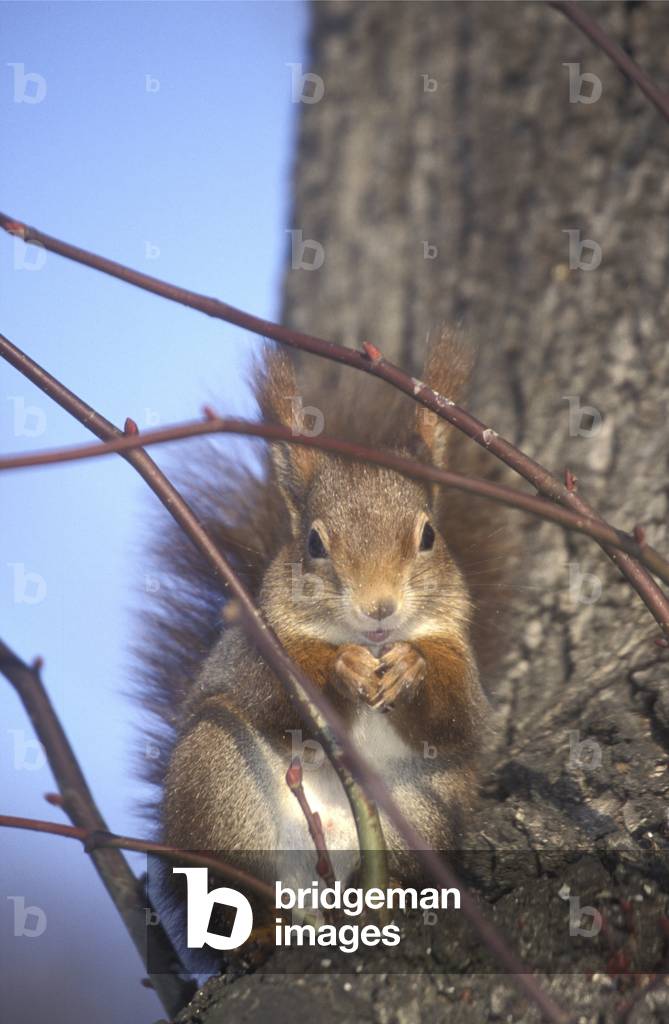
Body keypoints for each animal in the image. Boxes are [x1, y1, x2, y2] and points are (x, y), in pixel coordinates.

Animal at [137, 326, 512, 893]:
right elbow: (272, 697)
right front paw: (343, 666)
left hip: (426, 806)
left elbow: (458, 714)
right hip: (217, 773)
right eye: (314, 543)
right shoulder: (255, 651)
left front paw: (411, 666)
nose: (379, 607)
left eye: (429, 536)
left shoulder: (457, 656)